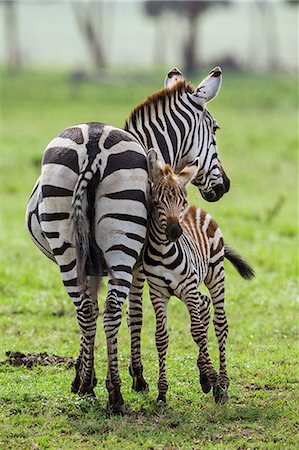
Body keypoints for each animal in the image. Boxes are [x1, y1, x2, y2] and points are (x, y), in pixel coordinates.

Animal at [26, 65, 230, 414]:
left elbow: (90, 309)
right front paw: (137, 377)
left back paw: (91, 389)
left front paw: (82, 378)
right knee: (111, 310)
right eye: (214, 129)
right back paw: (116, 395)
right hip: (122, 244)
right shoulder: (139, 266)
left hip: (65, 244)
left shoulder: (94, 265)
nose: (224, 186)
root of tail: (93, 143)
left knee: (84, 309)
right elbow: (134, 314)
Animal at [144, 150, 254, 404]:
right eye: (157, 203)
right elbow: (161, 337)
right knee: (204, 305)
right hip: (192, 287)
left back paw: (222, 382)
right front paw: (162, 392)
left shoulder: (187, 286)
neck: (163, 251)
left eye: (181, 203)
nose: (175, 232)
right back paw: (205, 374)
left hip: (214, 273)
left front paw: (214, 380)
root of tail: (198, 209)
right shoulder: (157, 291)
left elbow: (197, 332)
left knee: (219, 323)